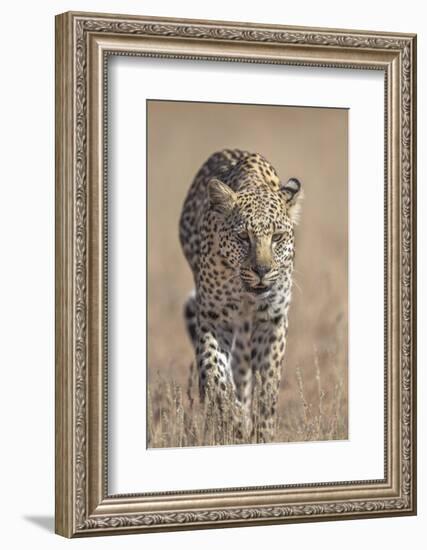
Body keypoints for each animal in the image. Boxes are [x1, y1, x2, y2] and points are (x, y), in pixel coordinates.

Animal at [179, 150, 302, 444]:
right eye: (243, 237)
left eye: (277, 237)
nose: (262, 270)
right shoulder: (213, 318)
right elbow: (215, 374)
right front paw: (232, 418)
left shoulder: (272, 319)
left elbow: (268, 384)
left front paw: (262, 432)